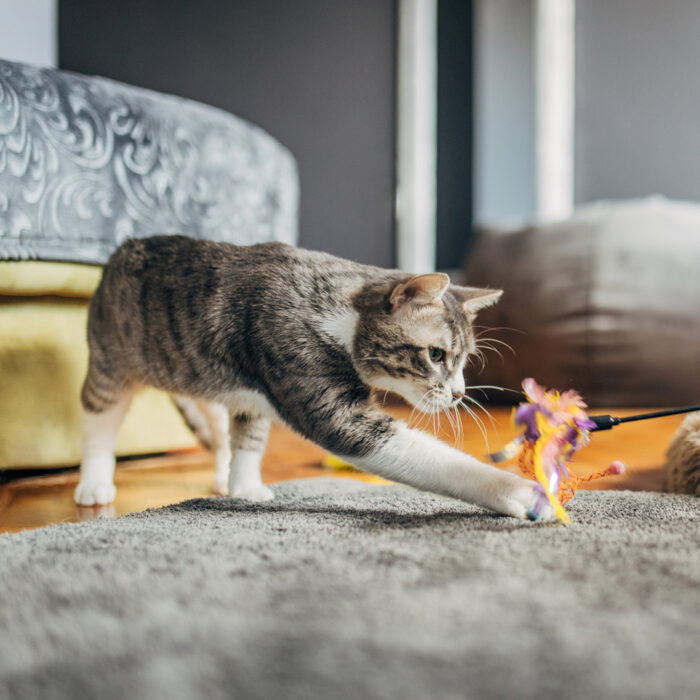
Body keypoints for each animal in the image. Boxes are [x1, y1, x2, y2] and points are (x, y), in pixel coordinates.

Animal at [75, 235, 548, 520]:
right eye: (436, 354)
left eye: (465, 359)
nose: (458, 394)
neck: (339, 313)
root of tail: (124, 246)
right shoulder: (305, 371)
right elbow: (428, 456)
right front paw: (521, 492)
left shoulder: (256, 390)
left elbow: (250, 436)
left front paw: (245, 487)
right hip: (109, 358)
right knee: (99, 418)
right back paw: (94, 483)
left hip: (208, 379)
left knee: (221, 424)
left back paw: (225, 474)